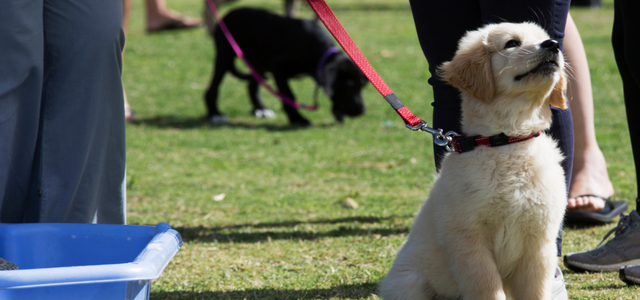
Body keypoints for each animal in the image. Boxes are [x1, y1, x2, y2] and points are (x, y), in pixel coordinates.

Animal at [205, 7, 364, 126]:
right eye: (348, 86)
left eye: (361, 86)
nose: (362, 111)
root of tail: (227, 15)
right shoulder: (278, 68)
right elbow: (288, 95)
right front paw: (298, 119)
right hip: (225, 55)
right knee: (213, 88)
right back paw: (215, 114)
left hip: (258, 64)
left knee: (252, 85)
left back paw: (260, 109)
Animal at [378, 22, 568, 300]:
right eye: (512, 43)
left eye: (546, 38)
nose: (553, 45)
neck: (507, 142)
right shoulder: (469, 238)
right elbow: (487, 287)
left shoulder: (540, 241)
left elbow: (535, 291)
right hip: (409, 282)